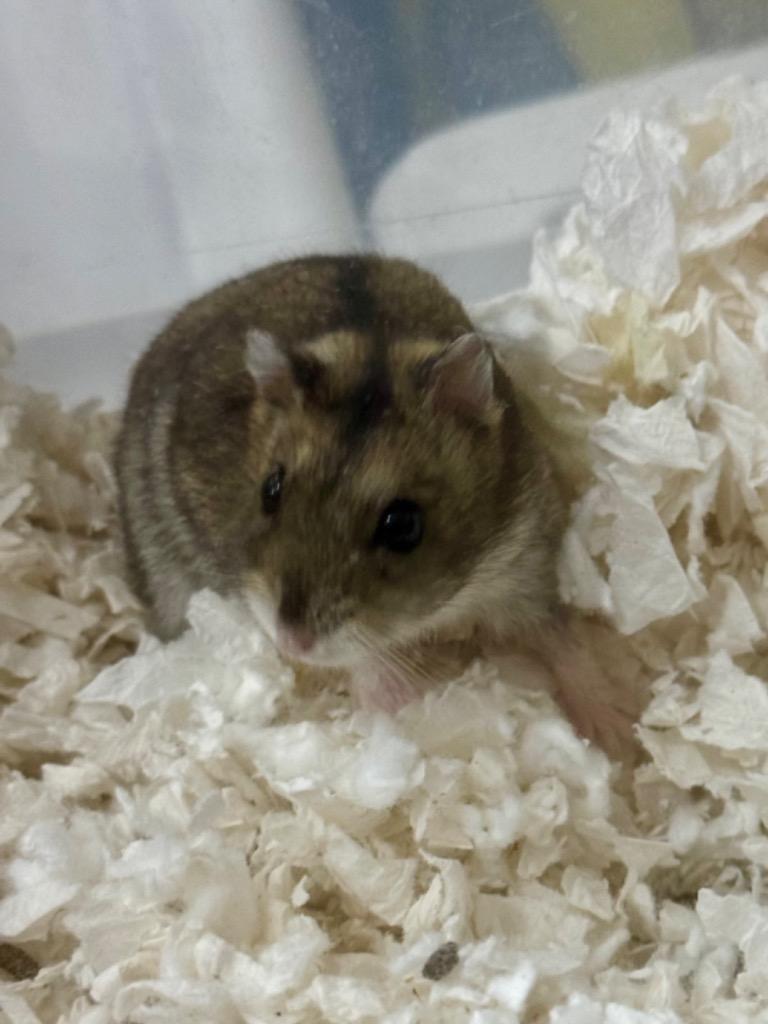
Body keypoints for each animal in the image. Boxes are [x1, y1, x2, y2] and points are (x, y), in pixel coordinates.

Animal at [115, 254, 634, 756]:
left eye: (403, 525)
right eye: (270, 489)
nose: (291, 642)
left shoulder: (524, 557)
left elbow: (560, 637)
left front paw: (617, 736)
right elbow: (364, 654)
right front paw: (409, 699)